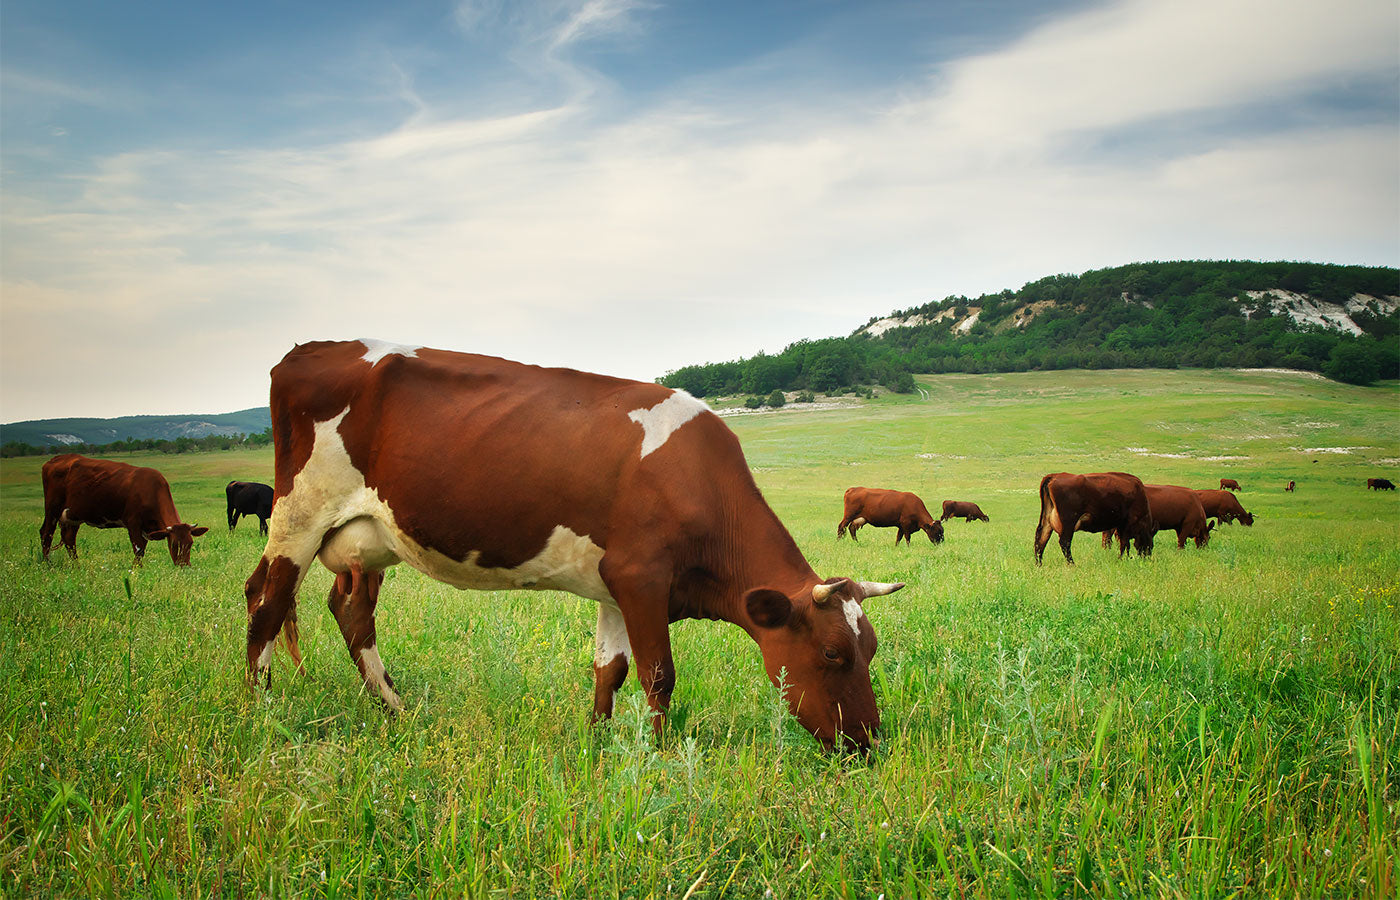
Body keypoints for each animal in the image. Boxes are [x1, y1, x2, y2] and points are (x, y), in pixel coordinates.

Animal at [40, 453, 207, 568]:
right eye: (173, 544)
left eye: (190, 543)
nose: (184, 566)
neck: (151, 491)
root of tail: (55, 459)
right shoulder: (133, 523)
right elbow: (139, 550)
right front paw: (136, 570)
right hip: (52, 509)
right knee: (46, 534)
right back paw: (48, 565)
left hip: (73, 516)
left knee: (69, 540)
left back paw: (77, 566)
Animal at [243, 340, 907, 755]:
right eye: (831, 654)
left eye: (871, 648)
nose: (867, 743)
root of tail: (306, 351)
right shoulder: (643, 576)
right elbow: (659, 674)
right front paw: (659, 756)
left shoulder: (615, 586)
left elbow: (609, 670)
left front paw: (597, 739)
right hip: (298, 514)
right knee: (265, 601)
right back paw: (259, 708)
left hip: (367, 539)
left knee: (350, 611)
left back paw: (395, 708)